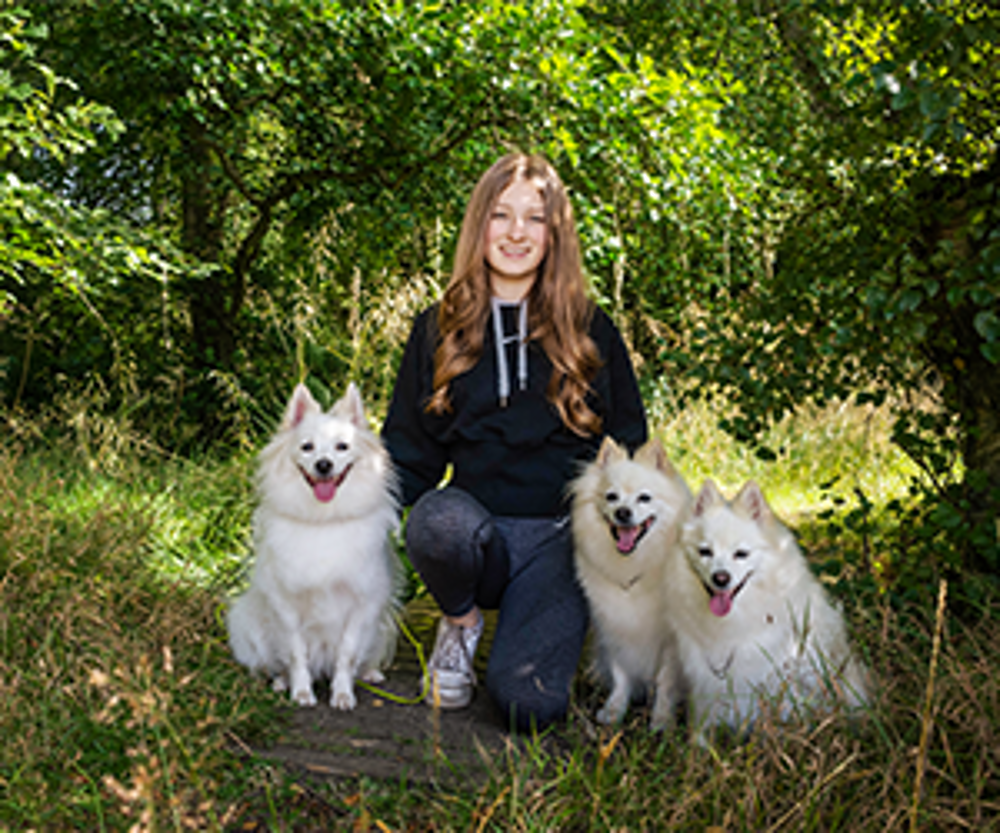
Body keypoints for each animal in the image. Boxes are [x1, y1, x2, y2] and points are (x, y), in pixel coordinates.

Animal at [227, 384, 398, 708]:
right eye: (307, 447)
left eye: (342, 446)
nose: (324, 464)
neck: (323, 522)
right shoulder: (286, 608)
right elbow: (296, 656)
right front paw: (302, 692)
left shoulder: (361, 606)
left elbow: (347, 655)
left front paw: (342, 693)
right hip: (249, 625)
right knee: (274, 663)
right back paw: (281, 682)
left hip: (380, 630)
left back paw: (369, 673)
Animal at [576, 436, 692, 728]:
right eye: (611, 497)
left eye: (644, 498)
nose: (623, 512)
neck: (635, 565)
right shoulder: (613, 629)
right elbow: (621, 674)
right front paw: (615, 709)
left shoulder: (671, 642)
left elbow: (665, 680)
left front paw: (662, 719)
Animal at [668, 478, 872, 736]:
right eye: (705, 551)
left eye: (741, 554)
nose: (720, 578)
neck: (735, 621)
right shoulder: (705, 684)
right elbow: (700, 730)